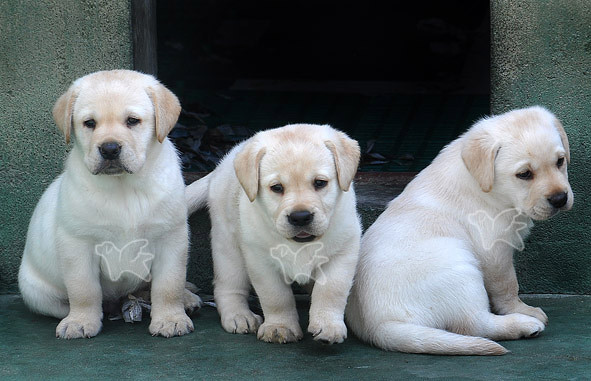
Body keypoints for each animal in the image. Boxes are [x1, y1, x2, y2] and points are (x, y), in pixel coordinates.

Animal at [19, 70, 201, 336]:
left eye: (133, 121)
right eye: (89, 123)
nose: (110, 148)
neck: (123, 186)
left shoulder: (171, 238)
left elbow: (169, 284)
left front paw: (170, 318)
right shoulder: (78, 245)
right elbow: (83, 290)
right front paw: (80, 321)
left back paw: (186, 298)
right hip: (36, 292)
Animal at [187, 124, 364, 342]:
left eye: (320, 183)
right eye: (277, 187)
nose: (300, 217)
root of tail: (221, 167)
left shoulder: (343, 252)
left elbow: (331, 291)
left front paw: (328, 325)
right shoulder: (261, 262)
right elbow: (276, 296)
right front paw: (280, 326)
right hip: (227, 246)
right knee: (227, 287)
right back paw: (239, 315)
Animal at [346, 106, 572, 354]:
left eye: (560, 161)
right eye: (524, 174)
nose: (560, 199)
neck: (488, 187)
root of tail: (378, 326)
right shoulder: (494, 251)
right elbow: (507, 286)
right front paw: (521, 308)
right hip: (460, 267)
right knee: (474, 324)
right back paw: (524, 324)